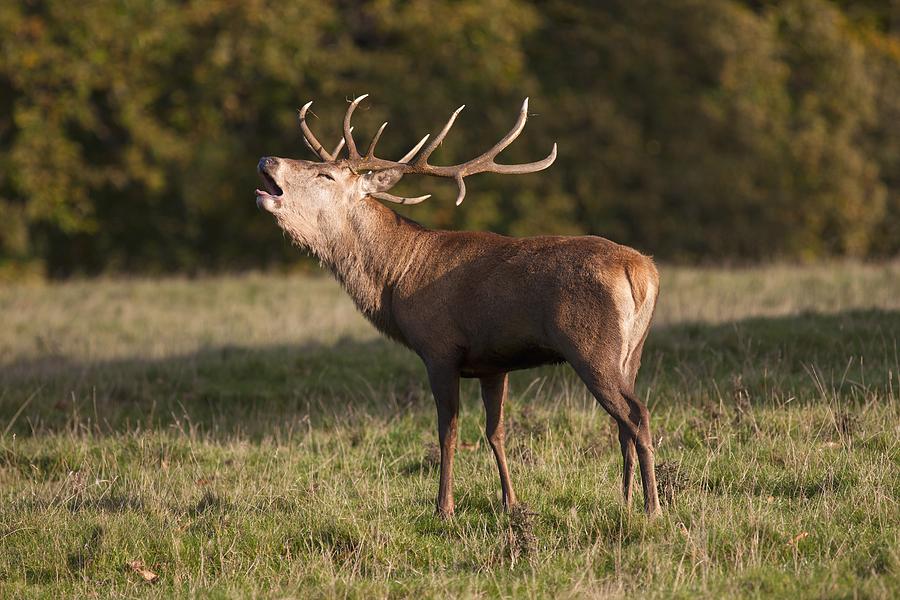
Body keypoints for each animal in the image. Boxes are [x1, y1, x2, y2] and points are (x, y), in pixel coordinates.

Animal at [255, 96, 660, 516]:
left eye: (326, 176)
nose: (268, 158)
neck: (396, 275)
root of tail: (642, 272)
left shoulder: (440, 349)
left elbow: (447, 432)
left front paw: (444, 506)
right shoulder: (493, 363)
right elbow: (496, 431)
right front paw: (511, 501)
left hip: (591, 347)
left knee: (636, 414)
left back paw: (653, 507)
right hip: (632, 352)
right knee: (623, 423)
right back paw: (626, 500)